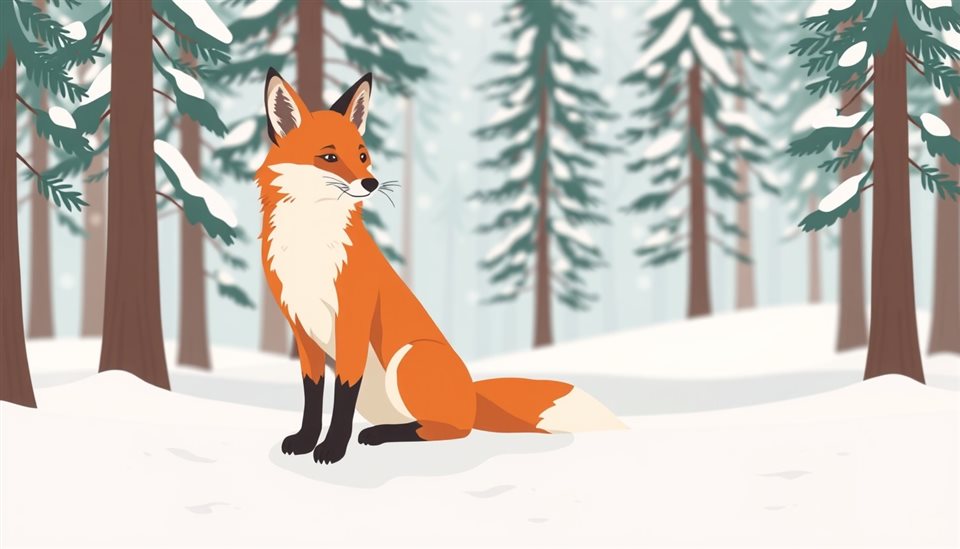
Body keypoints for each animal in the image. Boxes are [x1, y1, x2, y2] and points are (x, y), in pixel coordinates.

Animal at [257, 69, 625, 464]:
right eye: (329, 156)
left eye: (362, 155)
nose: (371, 183)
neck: (310, 246)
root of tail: (472, 394)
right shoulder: (302, 331)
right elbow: (313, 395)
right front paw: (306, 440)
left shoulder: (353, 322)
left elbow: (342, 395)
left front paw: (332, 448)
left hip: (409, 357)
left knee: (447, 430)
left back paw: (379, 434)